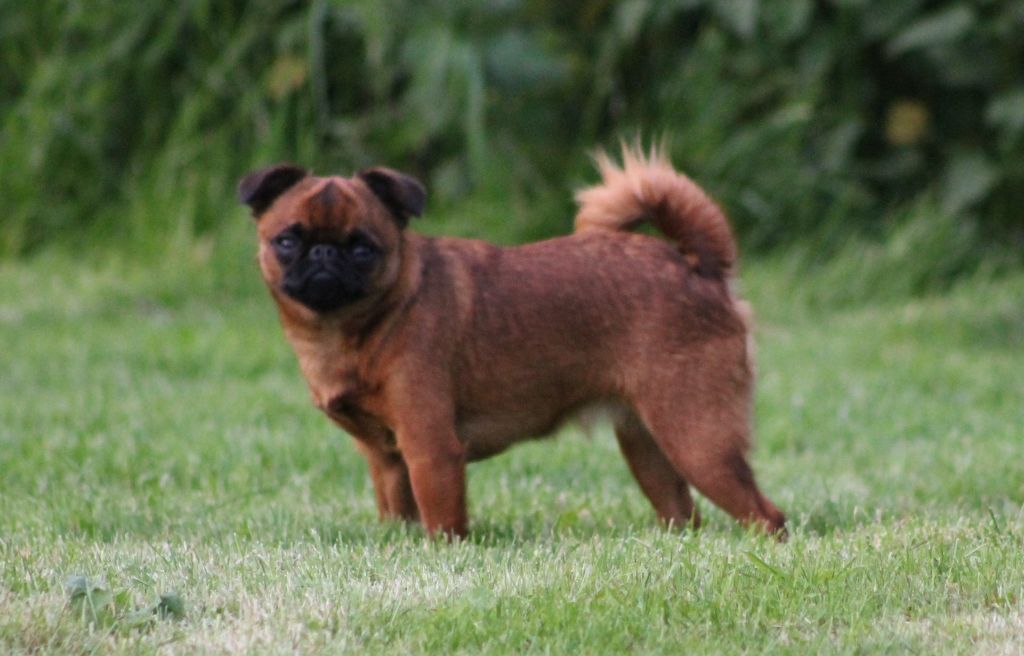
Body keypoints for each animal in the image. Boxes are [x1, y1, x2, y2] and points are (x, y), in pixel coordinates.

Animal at [237, 147, 782, 536]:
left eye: (362, 248)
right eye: (287, 240)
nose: (324, 253)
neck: (351, 328)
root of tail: (698, 267)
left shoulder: (430, 449)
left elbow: (441, 520)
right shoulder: (386, 459)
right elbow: (398, 511)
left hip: (699, 439)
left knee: (767, 516)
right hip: (648, 445)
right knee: (683, 513)